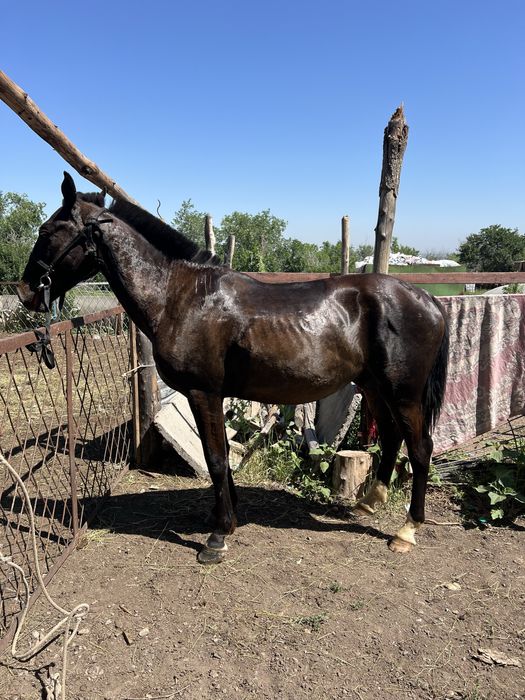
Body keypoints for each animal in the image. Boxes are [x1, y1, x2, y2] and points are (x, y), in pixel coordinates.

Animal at [18, 172, 449, 564]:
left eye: (46, 229)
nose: (24, 293)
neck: (180, 296)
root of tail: (428, 299)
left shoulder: (203, 392)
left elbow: (215, 458)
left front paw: (218, 536)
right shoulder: (213, 396)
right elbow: (222, 454)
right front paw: (227, 517)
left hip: (403, 393)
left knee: (419, 448)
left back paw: (407, 530)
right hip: (374, 387)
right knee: (391, 438)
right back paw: (369, 501)